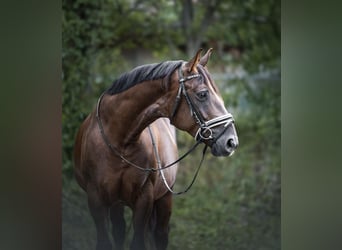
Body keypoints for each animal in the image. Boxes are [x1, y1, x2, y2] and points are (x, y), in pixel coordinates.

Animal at [73, 48, 238, 250]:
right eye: (202, 94)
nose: (231, 141)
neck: (119, 142)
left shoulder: (144, 199)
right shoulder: (96, 200)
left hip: (165, 198)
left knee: (160, 234)